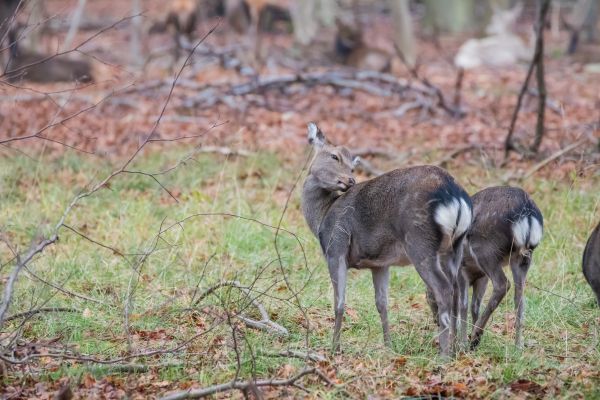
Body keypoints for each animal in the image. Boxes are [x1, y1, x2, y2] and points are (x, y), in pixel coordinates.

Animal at [302, 122, 472, 356]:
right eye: (334, 156)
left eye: (351, 165)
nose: (350, 180)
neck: (322, 218)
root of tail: (454, 195)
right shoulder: (380, 264)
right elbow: (382, 303)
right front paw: (388, 346)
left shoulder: (336, 248)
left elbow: (339, 303)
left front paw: (334, 348)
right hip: (455, 246)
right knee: (459, 291)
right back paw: (458, 347)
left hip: (420, 242)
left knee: (443, 289)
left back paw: (444, 354)